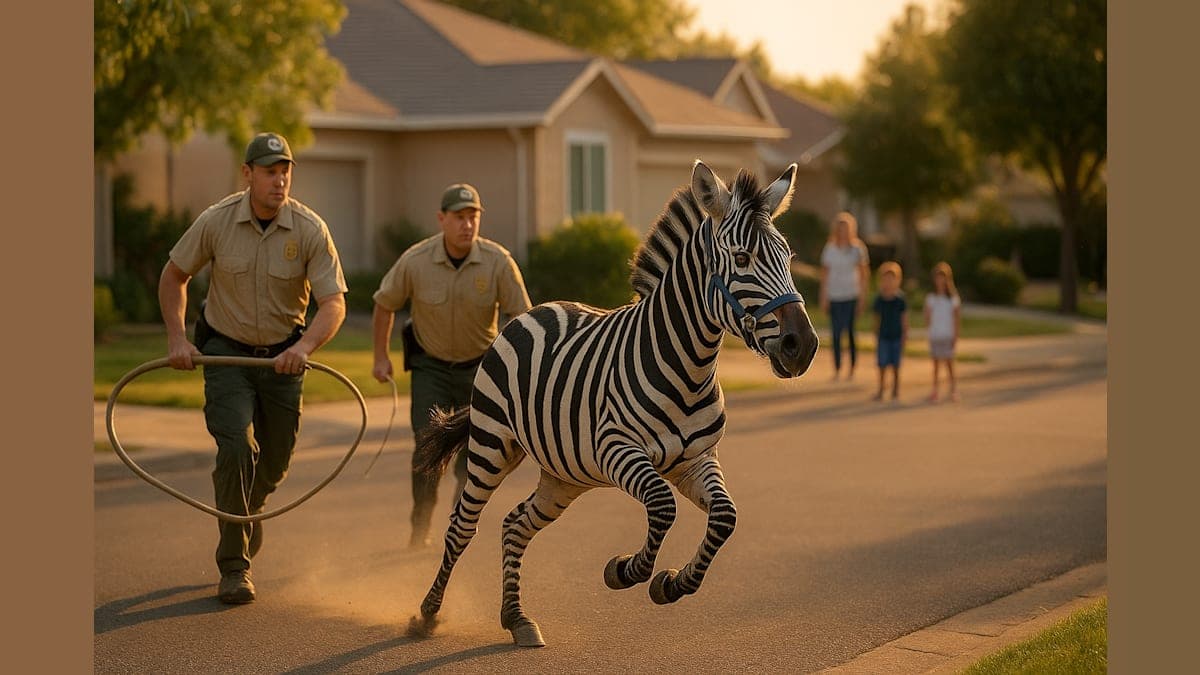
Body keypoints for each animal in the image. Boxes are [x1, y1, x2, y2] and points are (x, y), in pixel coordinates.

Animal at [408, 160, 819, 647]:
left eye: (787, 258)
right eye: (742, 260)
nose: (803, 347)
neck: (687, 366)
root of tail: (534, 310)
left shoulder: (697, 459)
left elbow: (724, 517)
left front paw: (672, 584)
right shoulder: (616, 448)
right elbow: (662, 506)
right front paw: (625, 571)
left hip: (564, 474)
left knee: (515, 524)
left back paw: (516, 618)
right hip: (492, 444)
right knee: (461, 527)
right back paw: (427, 614)